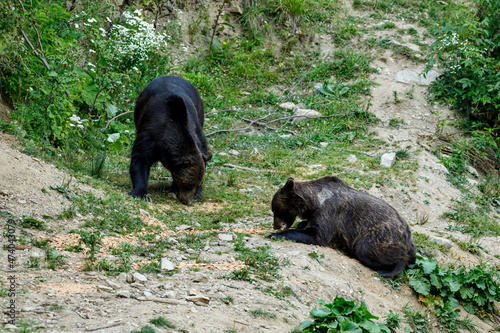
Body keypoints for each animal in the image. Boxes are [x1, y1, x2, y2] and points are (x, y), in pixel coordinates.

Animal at [128, 76, 212, 205]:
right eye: (186, 185)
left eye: (195, 184)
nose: (188, 201)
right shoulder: (150, 136)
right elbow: (140, 160)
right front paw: (140, 193)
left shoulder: (198, 136)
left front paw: (197, 193)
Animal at [270, 175, 418, 276]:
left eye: (275, 210)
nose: (275, 226)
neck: (314, 202)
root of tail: (407, 235)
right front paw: (301, 223)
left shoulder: (331, 210)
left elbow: (318, 236)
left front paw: (274, 234)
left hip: (381, 235)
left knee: (365, 249)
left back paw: (387, 269)